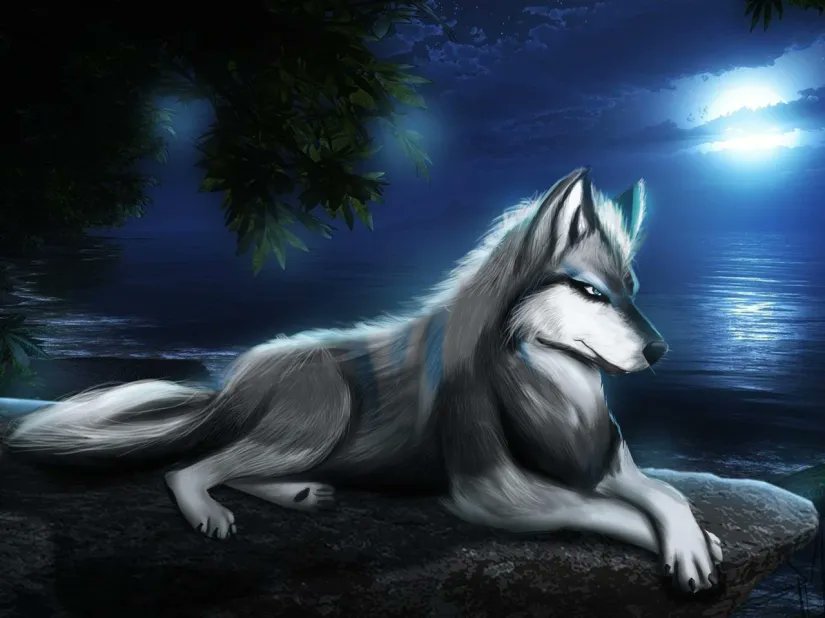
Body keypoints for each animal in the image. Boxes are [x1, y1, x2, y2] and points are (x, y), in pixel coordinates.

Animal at [4, 168, 722, 594]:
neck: (547, 385)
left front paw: (690, 537)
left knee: (230, 464)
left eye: (632, 292)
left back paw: (297, 494)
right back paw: (213, 510)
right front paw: (689, 551)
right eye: (590, 292)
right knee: (190, 469)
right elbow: (603, 509)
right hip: (320, 417)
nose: (660, 350)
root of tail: (231, 381)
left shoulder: (604, 461)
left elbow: (664, 494)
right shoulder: (493, 493)